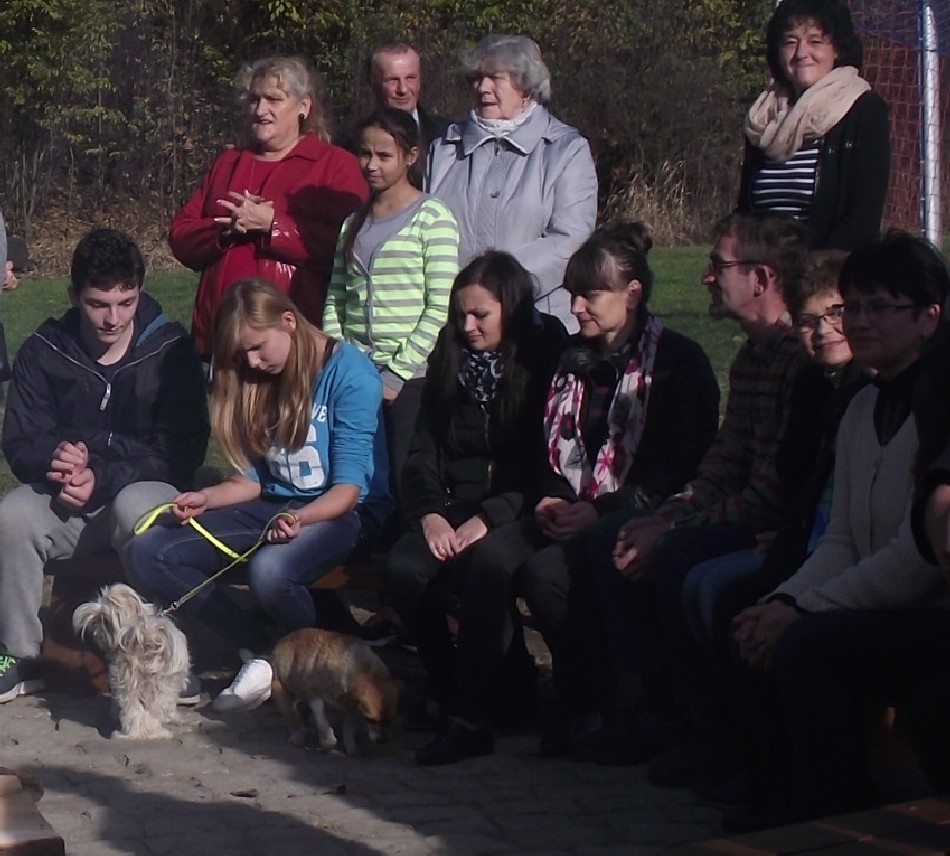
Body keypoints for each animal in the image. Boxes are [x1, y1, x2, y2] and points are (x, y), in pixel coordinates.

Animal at [270, 628, 402, 754]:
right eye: (370, 720)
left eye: (392, 718)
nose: (382, 741)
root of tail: (284, 639)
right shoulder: (315, 697)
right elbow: (321, 720)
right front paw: (328, 740)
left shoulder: (353, 707)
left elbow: (349, 728)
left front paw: (351, 746)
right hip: (282, 694)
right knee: (291, 718)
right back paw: (297, 736)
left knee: (301, 710)